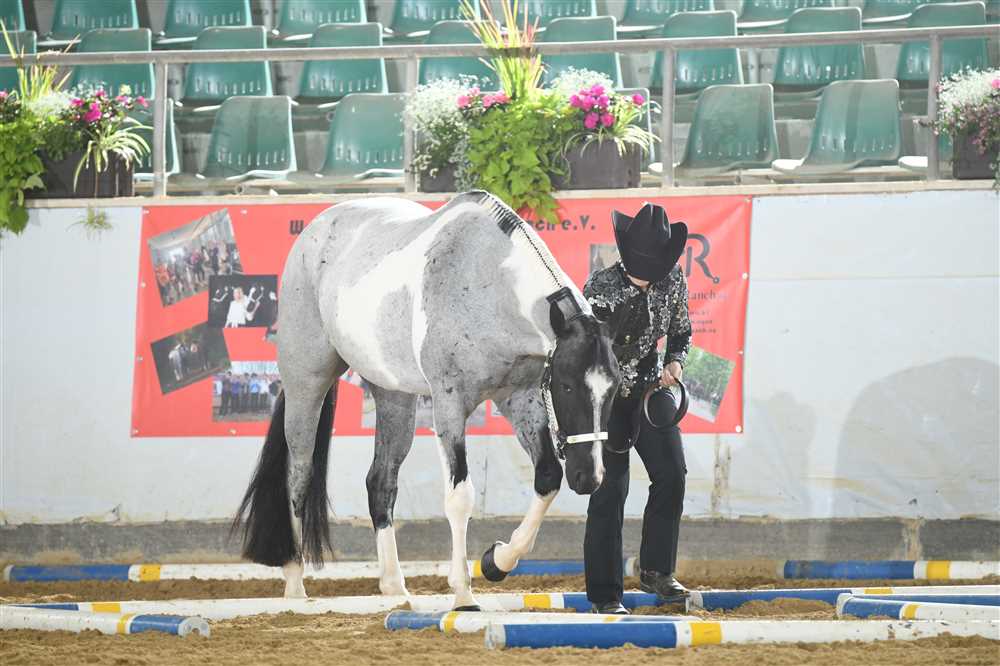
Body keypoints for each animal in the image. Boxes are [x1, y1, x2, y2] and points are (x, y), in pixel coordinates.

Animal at [234, 190, 620, 610]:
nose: (589, 477)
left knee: (380, 481)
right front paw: (463, 592)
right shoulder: (450, 404)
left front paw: (497, 560)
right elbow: (460, 496)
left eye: (615, 388)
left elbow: (547, 475)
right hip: (307, 383)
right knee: (299, 475)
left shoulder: (519, 397)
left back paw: (393, 584)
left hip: (395, 397)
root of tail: (315, 231)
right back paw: (294, 581)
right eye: (566, 386)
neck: (488, 282)